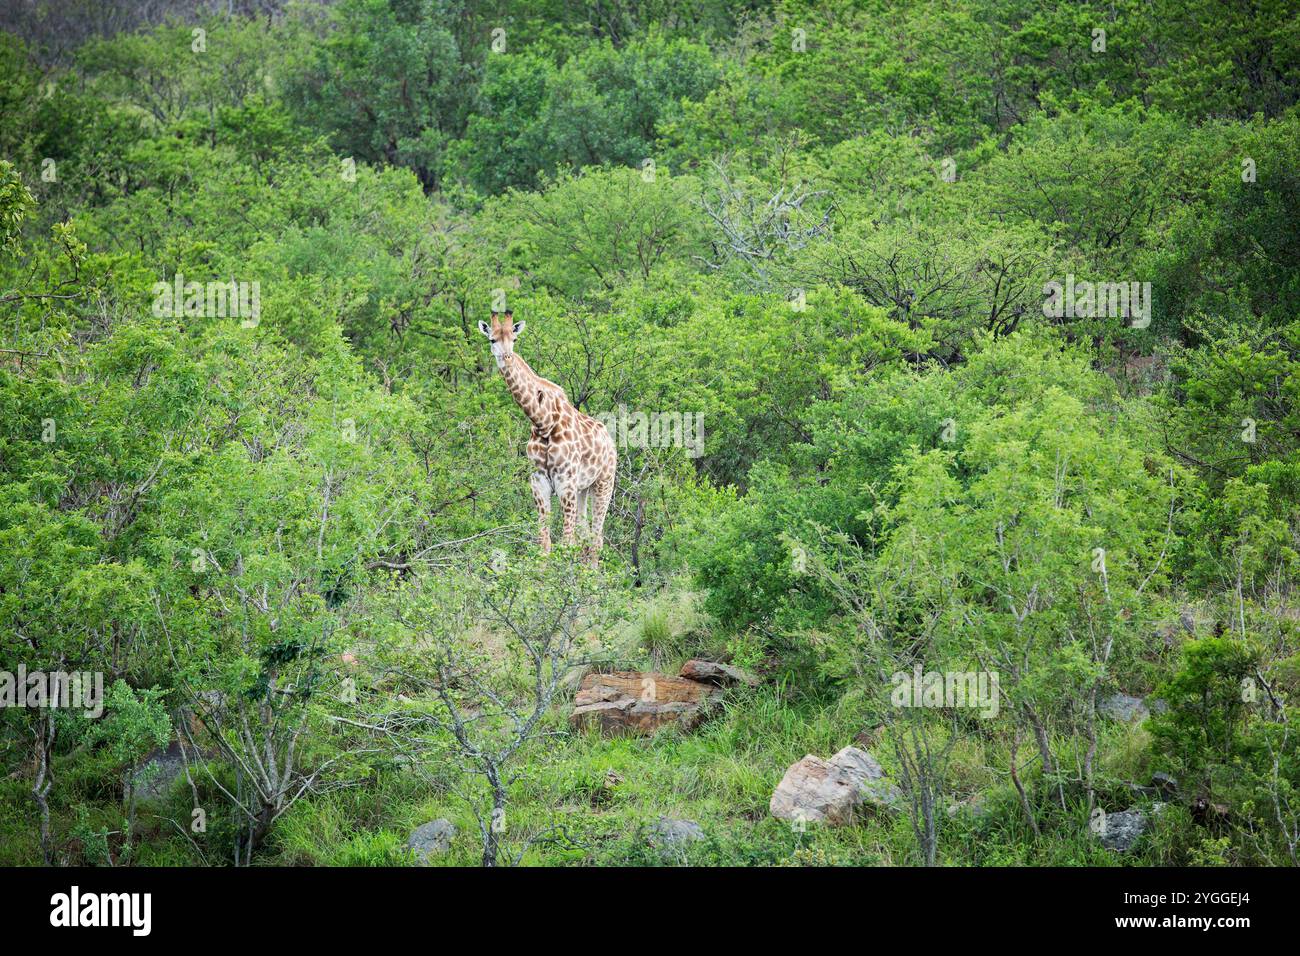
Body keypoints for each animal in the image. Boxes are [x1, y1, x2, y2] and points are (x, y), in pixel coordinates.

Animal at [479, 311, 616, 563]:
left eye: (514, 339)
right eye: (492, 339)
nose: (506, 358)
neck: (543, 421)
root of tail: (611, 441)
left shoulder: (566, 483)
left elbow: (566, 543)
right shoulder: (539, 483)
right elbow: (545, 543)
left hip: (604, 483)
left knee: (595, 539)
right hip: (583, 489)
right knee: (586, 538)